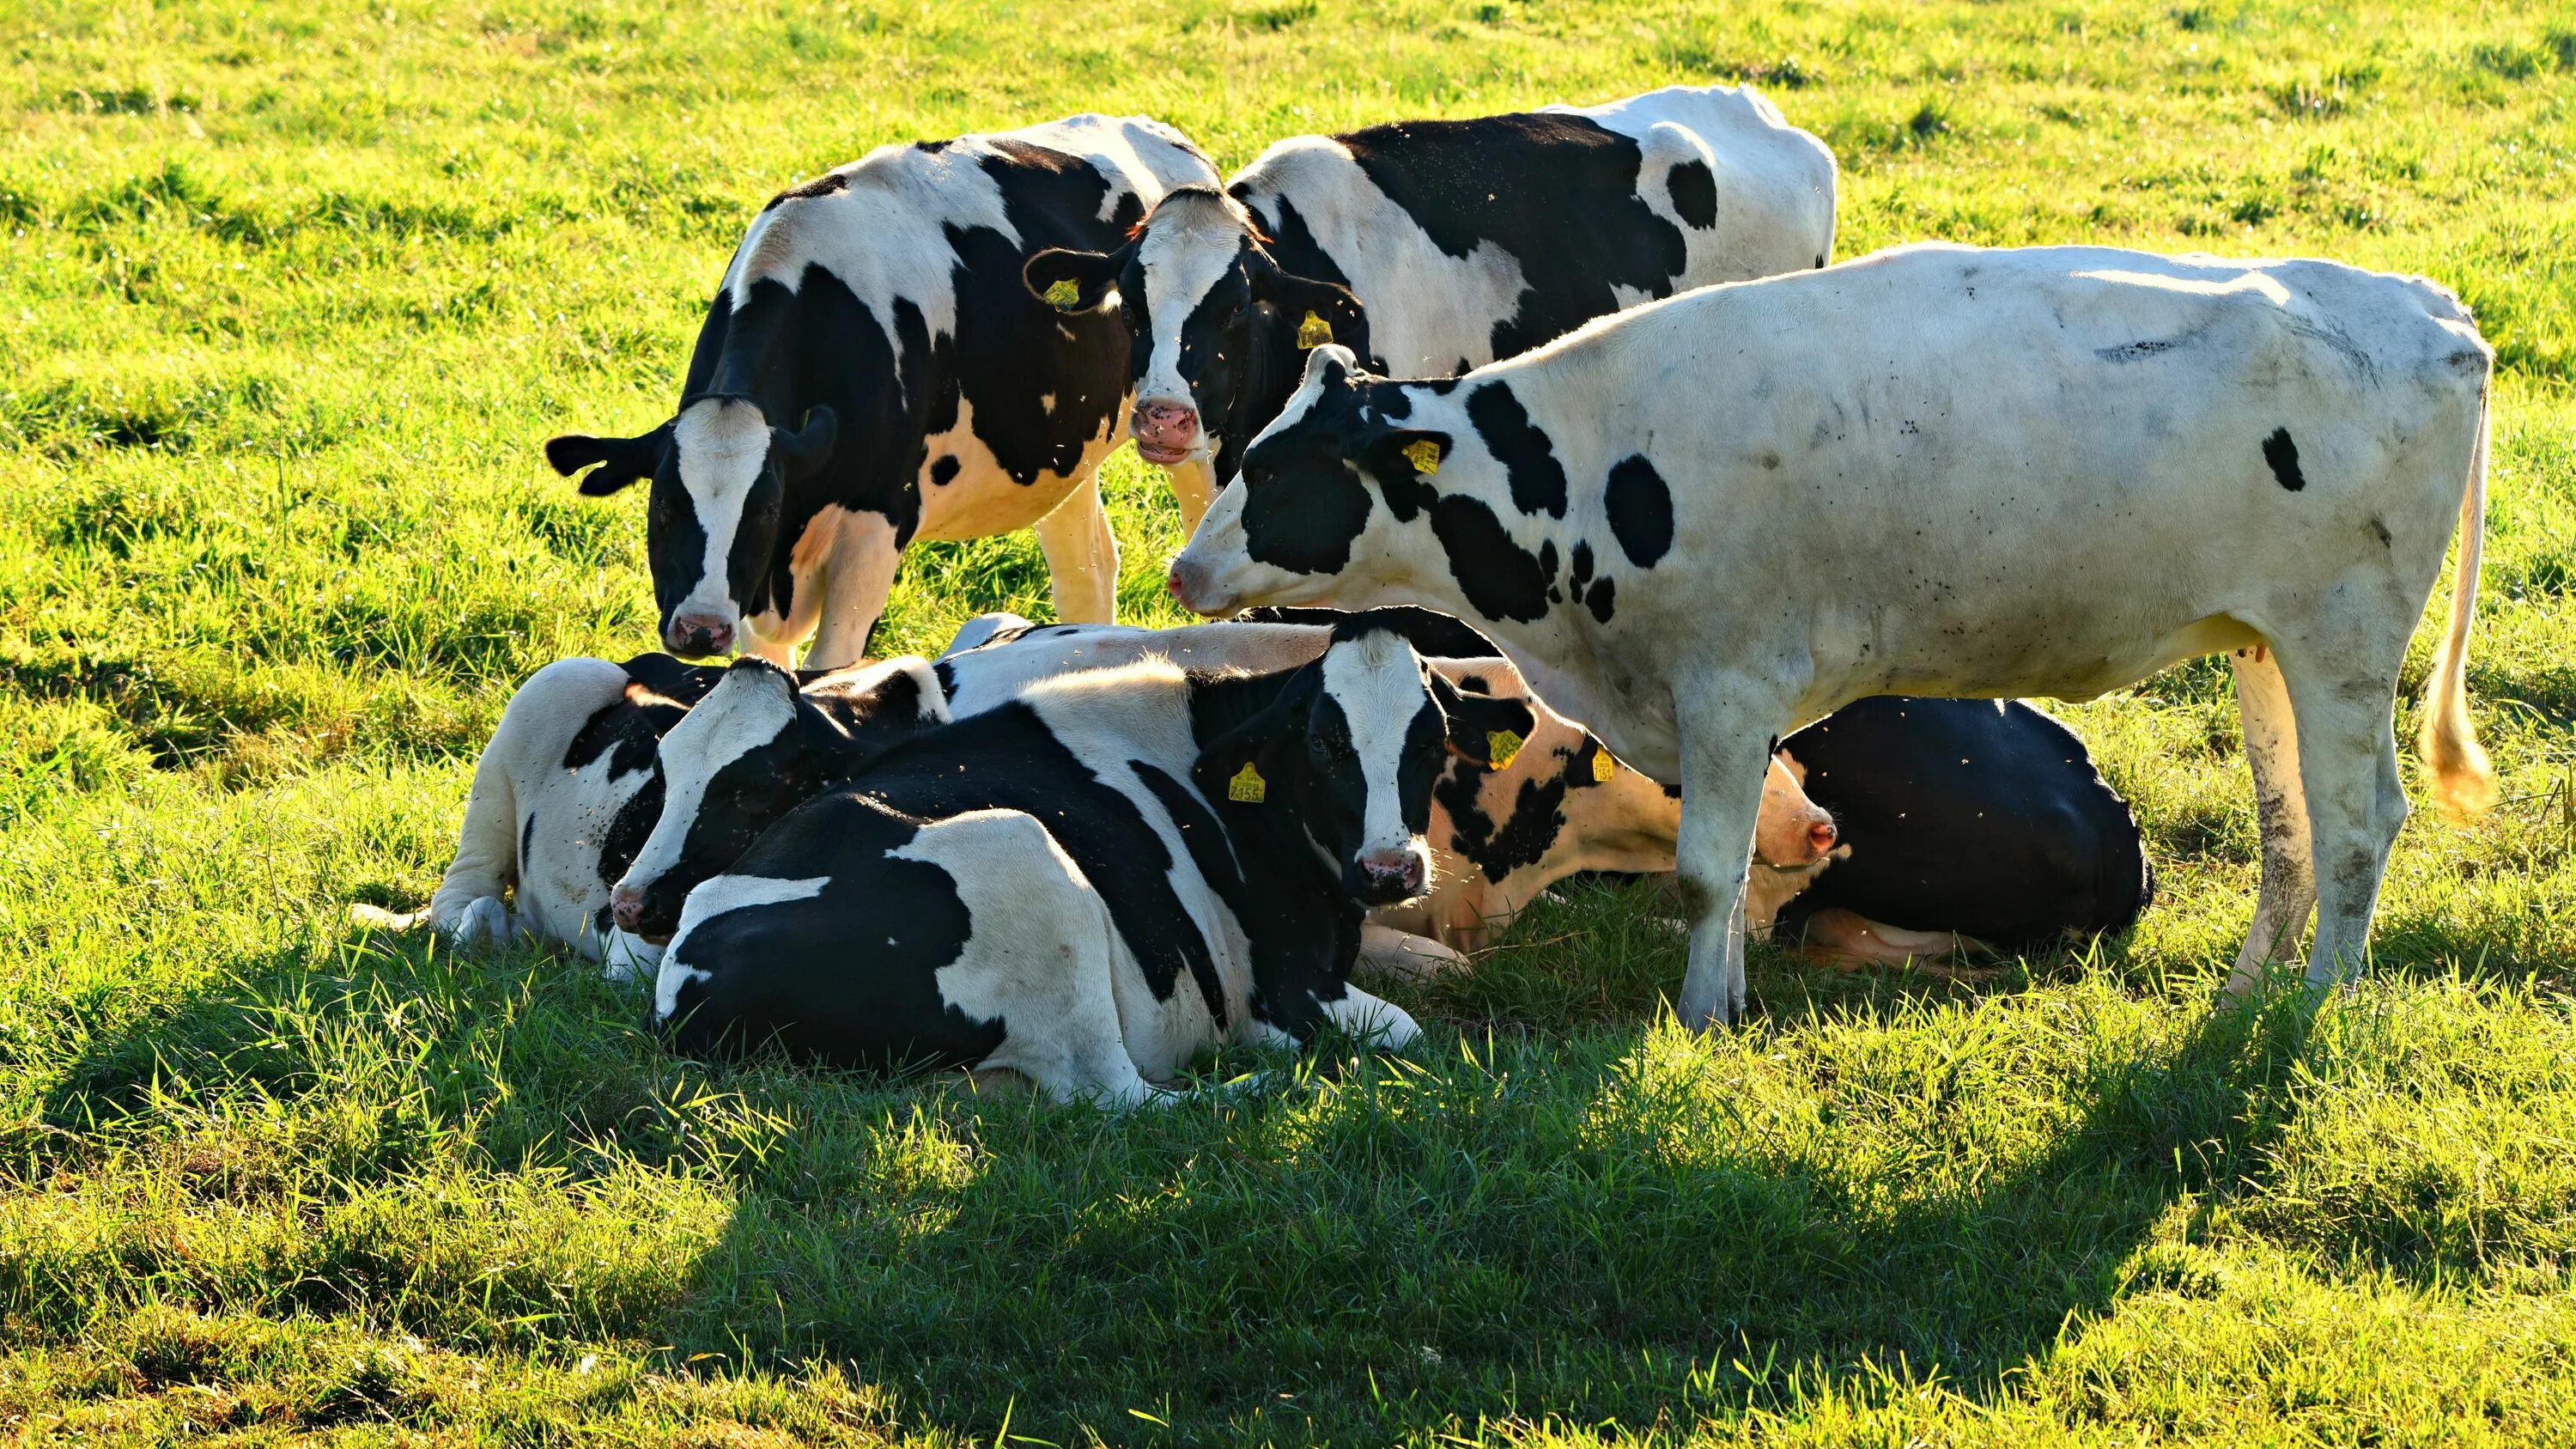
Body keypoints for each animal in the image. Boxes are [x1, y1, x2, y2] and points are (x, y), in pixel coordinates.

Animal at [361, 652, 948, 969]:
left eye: (755, 791)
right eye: (662, 774)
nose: (627, 905)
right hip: (549, 695)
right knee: (461, 895)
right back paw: (492, 929)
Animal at [541, 115, 1216, 670]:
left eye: (762, 509)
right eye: (663, 506)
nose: (701, 628)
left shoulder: (875, 528)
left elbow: (827, 668)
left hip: (1193, 438)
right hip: (1058, 449)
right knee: (1089, 568)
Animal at [1170, 242, 2494, 1020]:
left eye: (1283, 472)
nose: (1184, 566)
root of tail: (2429, 312)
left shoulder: (1728, 683)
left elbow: (1711, 869)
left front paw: (1701, 1015)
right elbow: (1743, 866)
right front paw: (1728, 995)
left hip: (2341, 643)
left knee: (2361, 823)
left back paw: (2318, 1005)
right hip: (2266, 644)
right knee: (2293, 828)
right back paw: (2246, 993)